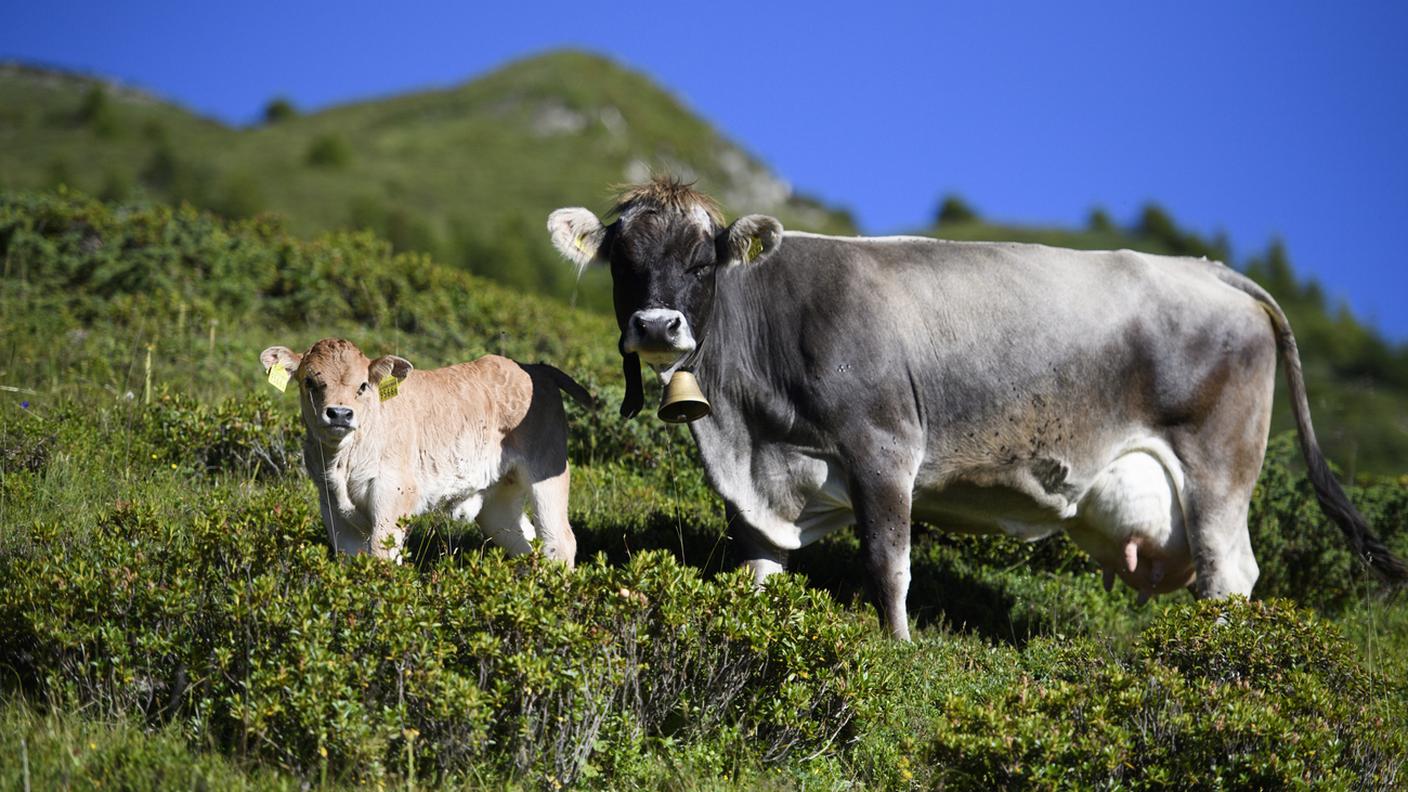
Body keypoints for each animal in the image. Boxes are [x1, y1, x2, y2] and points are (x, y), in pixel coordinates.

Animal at [543, 177, 1402, 634]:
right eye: (624, 260)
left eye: (702, 260)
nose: (657, 326)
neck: (746, 427)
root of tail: (1212, 270)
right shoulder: (764, 483)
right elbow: (759, 569)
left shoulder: (884, 447)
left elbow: (888, 564)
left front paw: (897, 649)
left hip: (1220, 467)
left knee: (1231, 574)